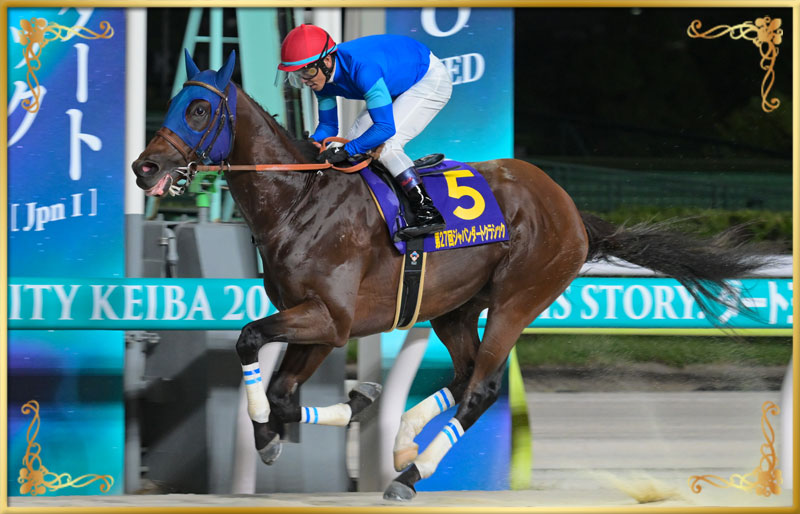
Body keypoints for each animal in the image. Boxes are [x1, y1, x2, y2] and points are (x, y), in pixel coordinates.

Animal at [131, 51, 769, 501]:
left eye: (198, 109)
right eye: (174, 101)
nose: (145, 166)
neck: (298, 202)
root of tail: (570, 208)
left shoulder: (330, 319)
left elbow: (250, 342)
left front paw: (279, 421)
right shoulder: (317, 322)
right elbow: (283, 392)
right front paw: (338, 408)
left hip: (518, 298)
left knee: (483, 387)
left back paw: (411, 472)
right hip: (456, 307)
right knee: (464, 377)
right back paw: (403, 439)